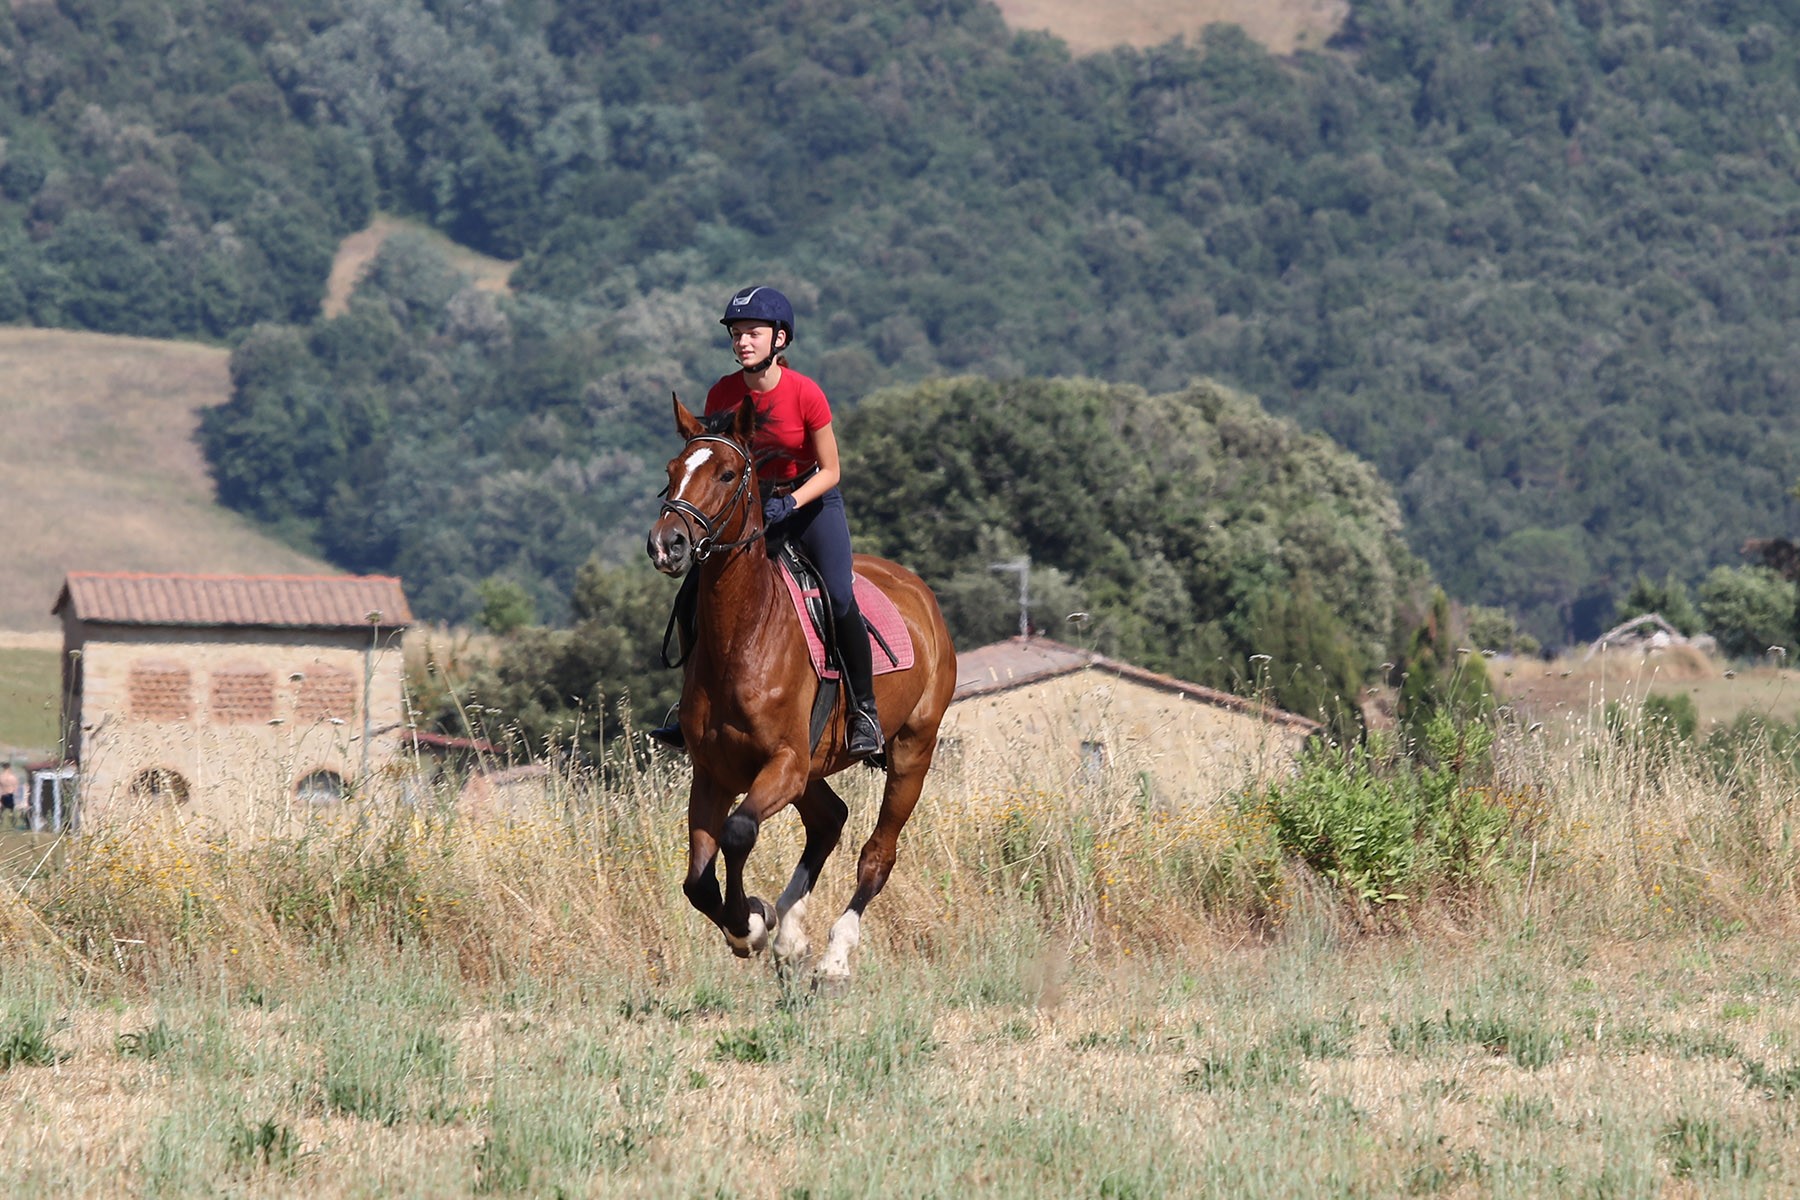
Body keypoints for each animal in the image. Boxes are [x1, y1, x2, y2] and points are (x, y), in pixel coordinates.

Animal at [644, 394, 957, 985]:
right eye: (671, 472)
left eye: (727, 473)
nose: (666, 545)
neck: (744, 636)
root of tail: (919, 592)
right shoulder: (716, 773)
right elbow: (697, 881)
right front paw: (757, 921)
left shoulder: (784, 763)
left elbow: (739, 833)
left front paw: (750, 924)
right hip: (812, 768)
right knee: (829, 820)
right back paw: (790, 935)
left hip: (912, 749)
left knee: (877, 854)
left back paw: (834, 957)